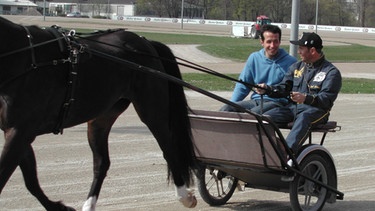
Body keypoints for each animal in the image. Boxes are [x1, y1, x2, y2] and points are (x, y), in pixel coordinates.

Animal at [0, 17, 198, 210]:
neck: (25, 56)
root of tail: (145, 41)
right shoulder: (17, 132)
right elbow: (31, 181)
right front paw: (59, 207)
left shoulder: (21, 131)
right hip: (101, 119)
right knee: (101, 163)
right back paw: (89, 204)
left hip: (152, 111)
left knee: (169, 149)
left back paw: (184, 196)